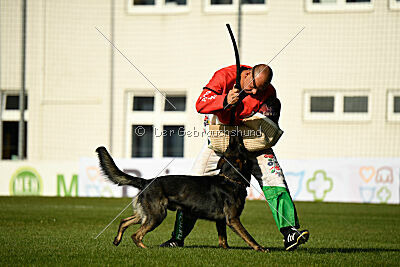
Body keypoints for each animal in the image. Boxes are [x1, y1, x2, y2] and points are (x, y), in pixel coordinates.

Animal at [96, 135, 266, 252]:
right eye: (240, 145)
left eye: (232, 146)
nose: (233, 134)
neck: (231, 178)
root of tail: (146, 181)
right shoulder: (233, 219)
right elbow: (248, 236)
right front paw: (260, 248)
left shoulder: (222, 221)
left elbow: (223, 240)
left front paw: (226, 250)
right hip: (157, 215)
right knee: (136, 235)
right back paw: (146, 249)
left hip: (145, 215)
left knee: (124, 221)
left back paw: (117, 241)